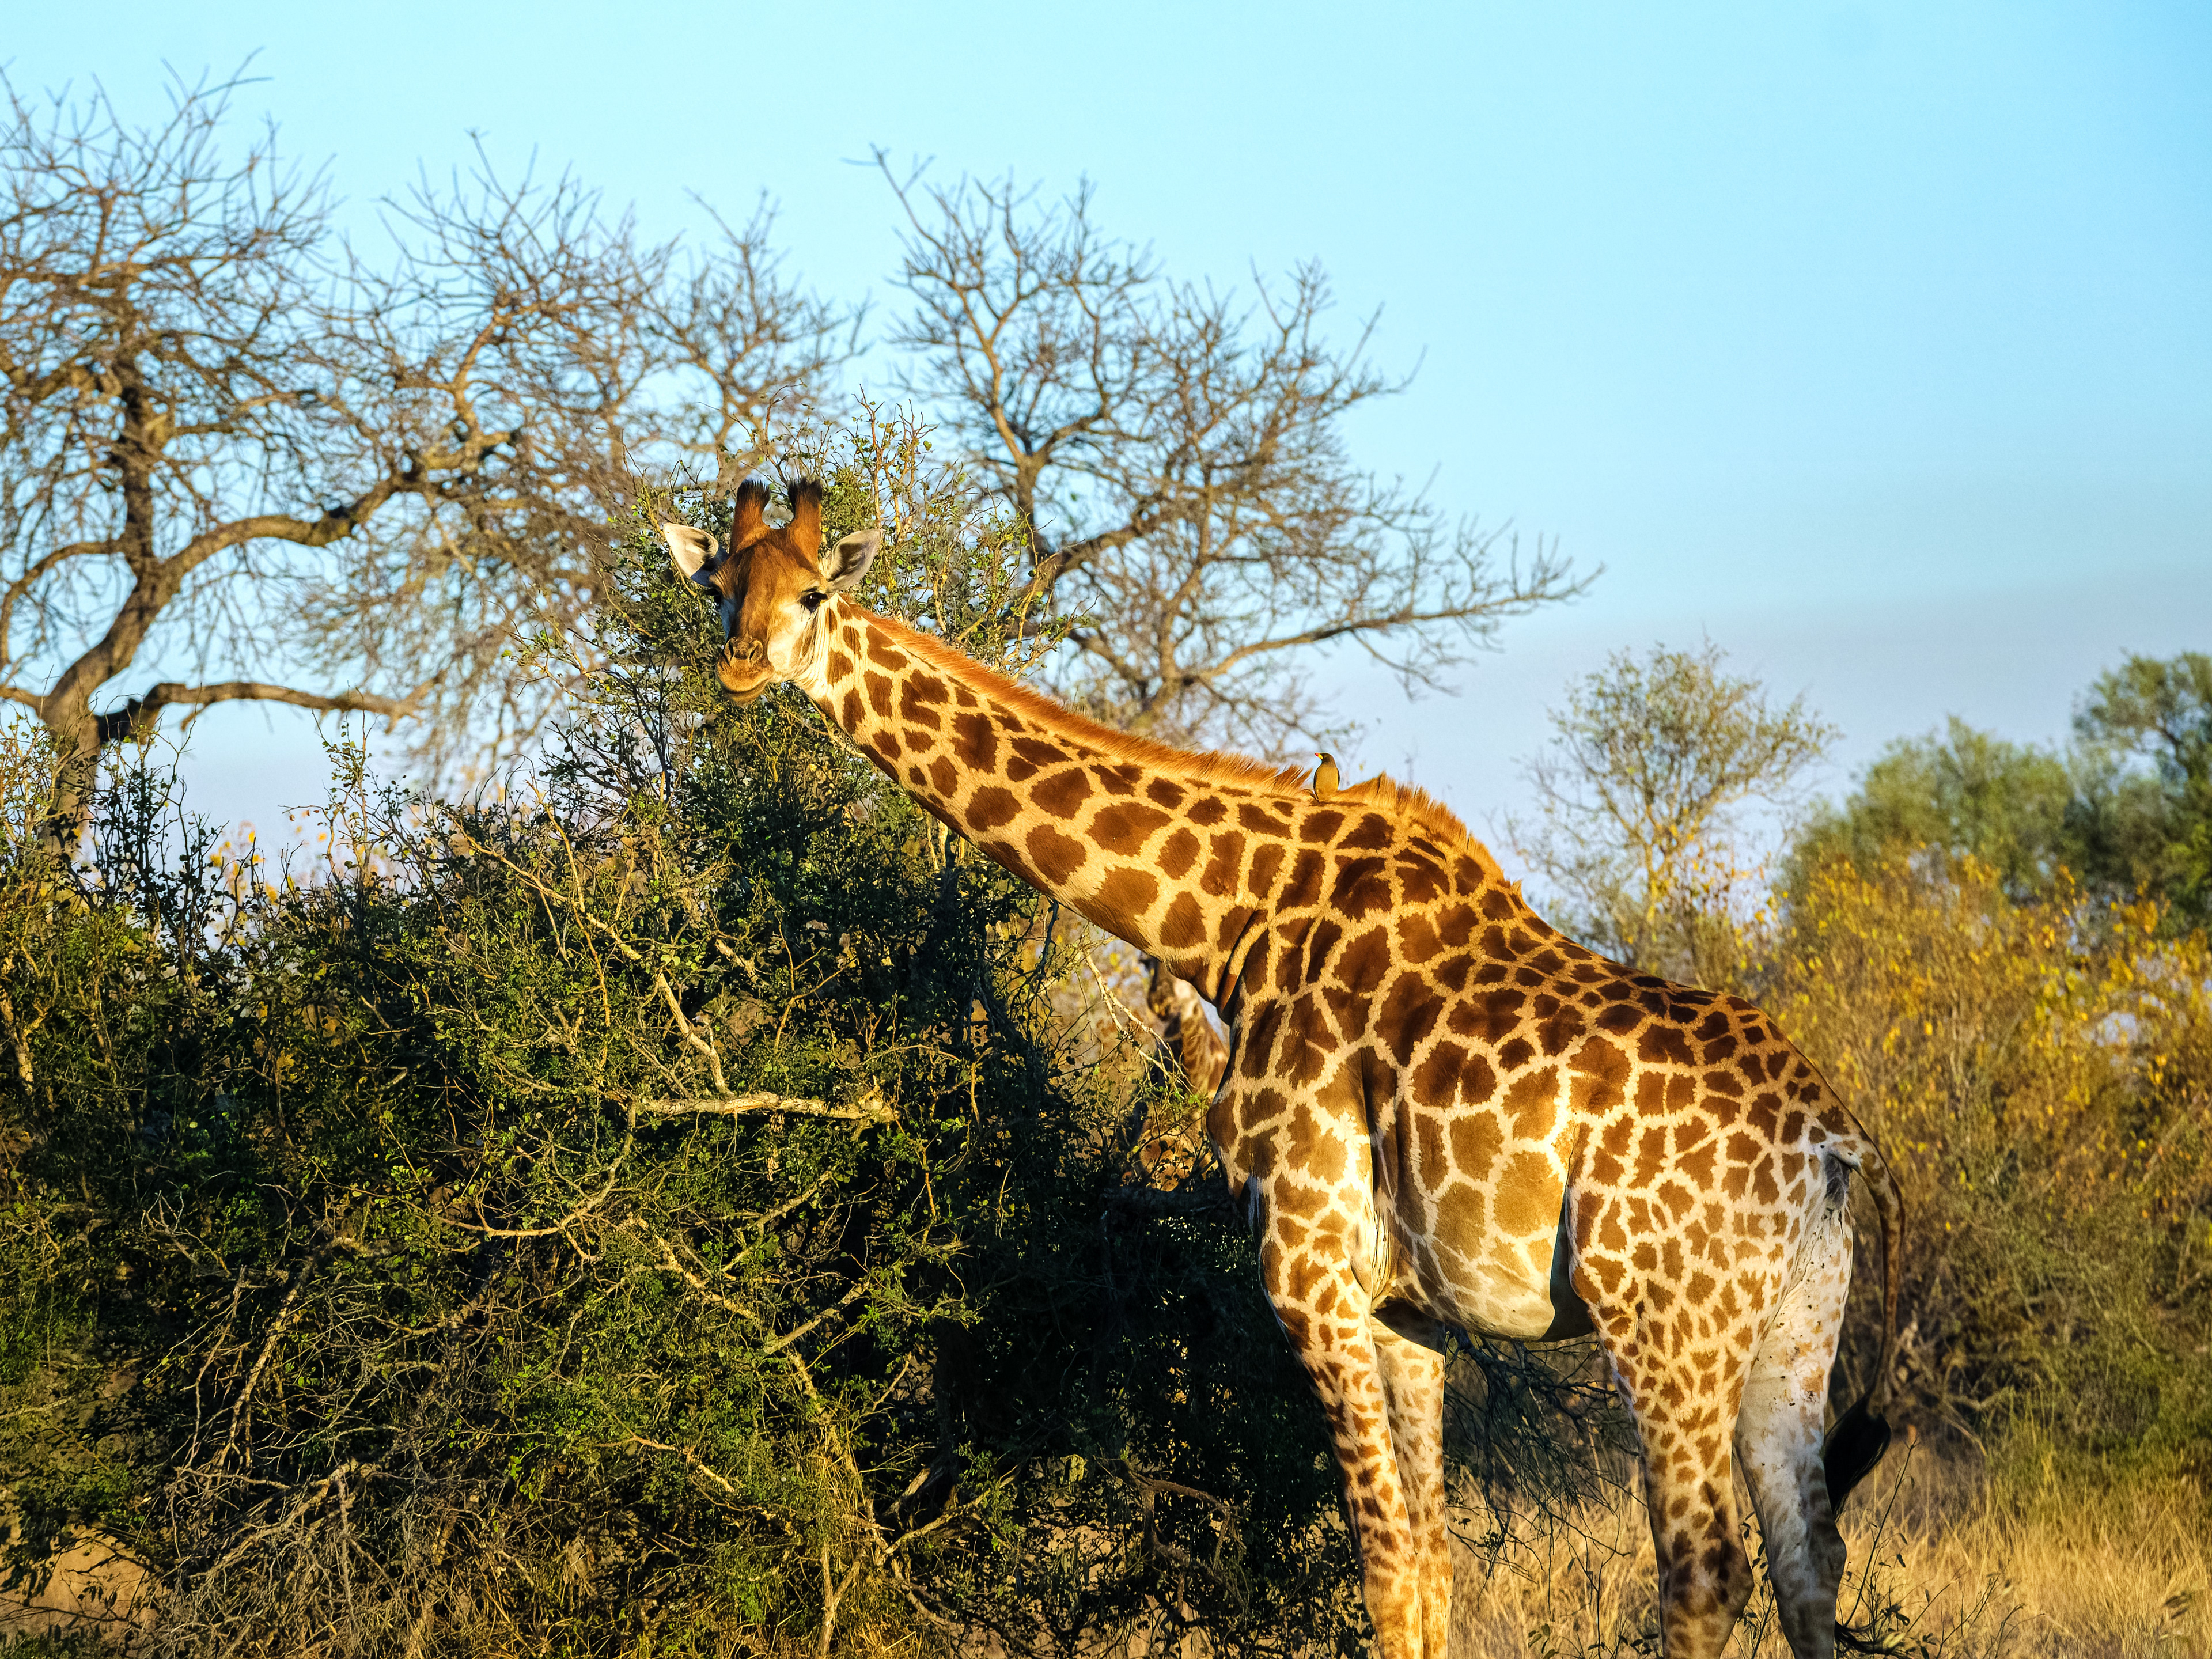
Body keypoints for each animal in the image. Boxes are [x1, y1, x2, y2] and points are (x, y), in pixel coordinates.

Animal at [660, 481, 1903, 1659]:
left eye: (816, 592)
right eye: (719, 587)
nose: (738, 665)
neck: (1237, 920)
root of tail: (1829, 1141)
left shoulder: (1305, 1267)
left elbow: (1384, 1568)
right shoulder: (1406, 1315)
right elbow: (1433, 1568)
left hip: (1664, 1323)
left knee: (1706, 1571)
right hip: (1789, 1328)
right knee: (1808, 1559)